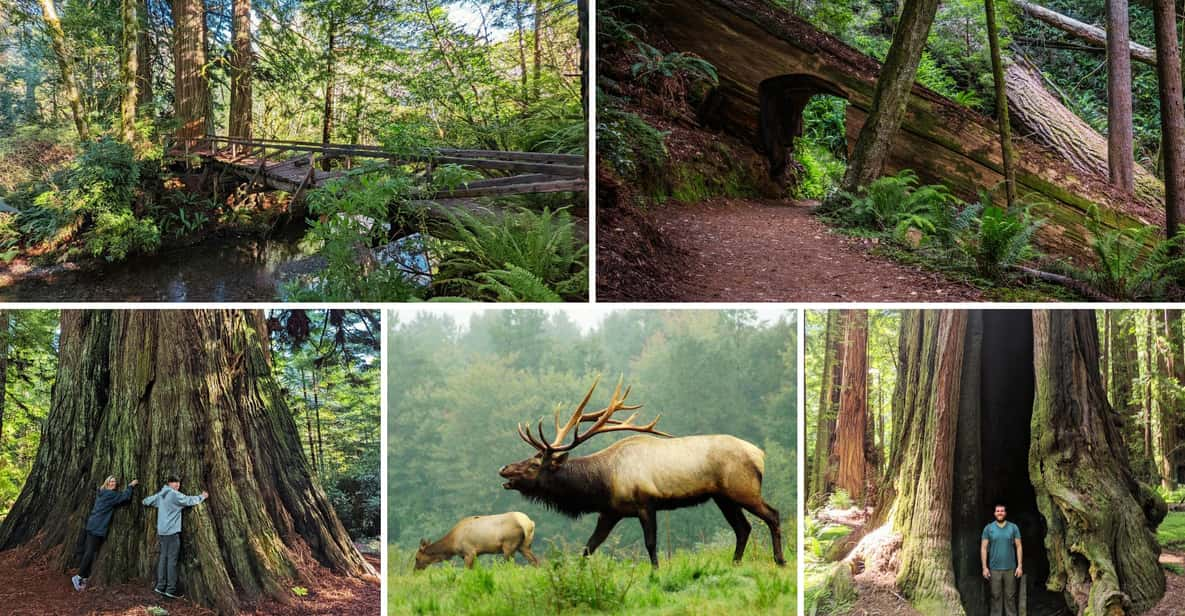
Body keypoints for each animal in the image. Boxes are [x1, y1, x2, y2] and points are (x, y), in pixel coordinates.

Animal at [495, 374, 782, 568]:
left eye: (534, 464)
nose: (504, 469)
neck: (602, 483)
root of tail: (760, 455)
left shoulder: (646, 503)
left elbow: (650, 543)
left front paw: (656, 572)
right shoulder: (610, 512)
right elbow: (589, 546)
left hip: (743, 489)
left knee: (772, 515)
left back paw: (780, 560)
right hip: (723, 497)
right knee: (743, 528)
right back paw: (735, 563)